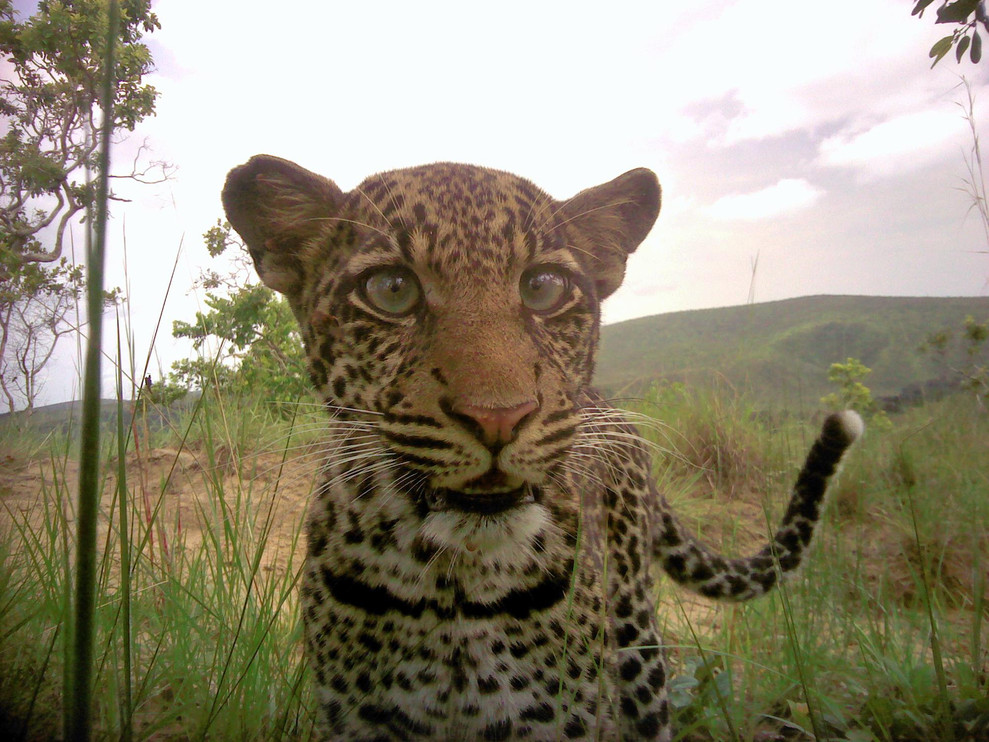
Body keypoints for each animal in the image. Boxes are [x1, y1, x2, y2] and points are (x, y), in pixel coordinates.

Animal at [221, 155, 863, 741]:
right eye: (391, 289)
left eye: (542, 287)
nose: (499, 417)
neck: (451, 589)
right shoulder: (360, 722)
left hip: (638, 642)